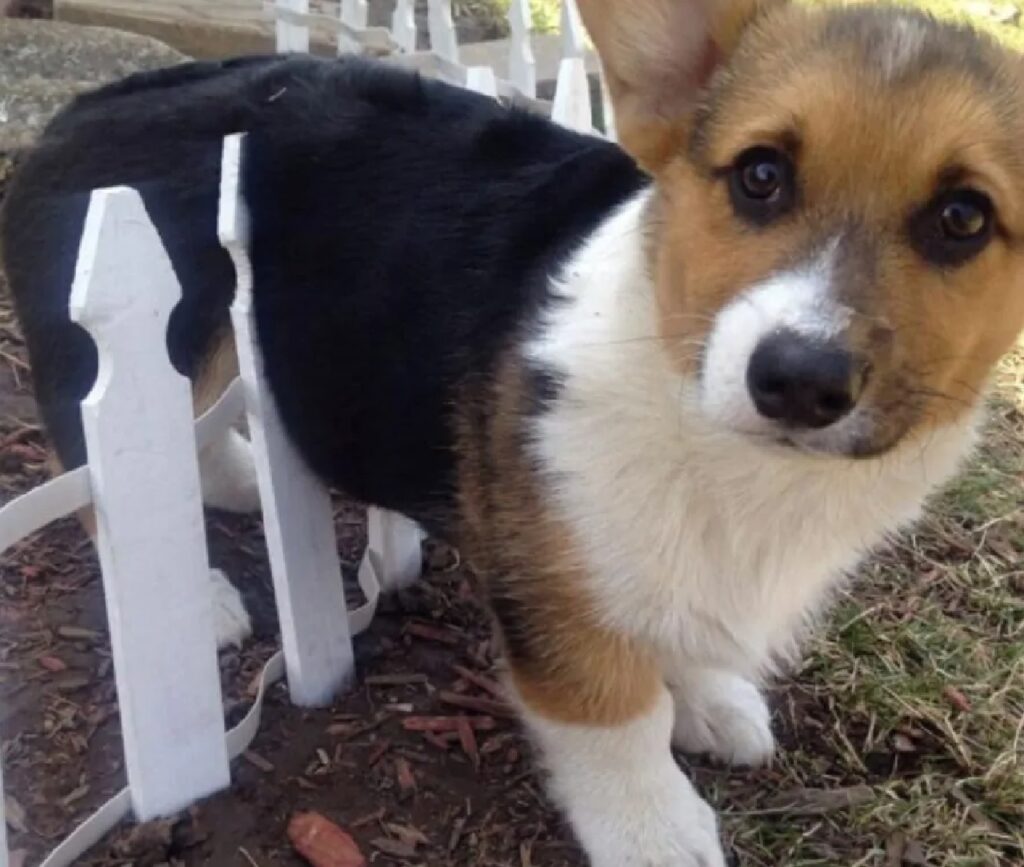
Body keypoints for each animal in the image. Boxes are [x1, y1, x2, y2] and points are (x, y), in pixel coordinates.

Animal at [2, 1, 1024, 859]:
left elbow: (675, 628)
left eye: (963, 217)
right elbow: (614, 711)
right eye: (761, 176)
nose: (799, 380)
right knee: (107, 472)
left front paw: (709, 700)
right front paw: (653, 828)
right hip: (152, 343)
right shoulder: (555, 585)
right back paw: (205, 594)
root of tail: (77, 112)